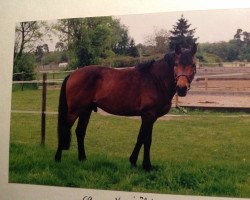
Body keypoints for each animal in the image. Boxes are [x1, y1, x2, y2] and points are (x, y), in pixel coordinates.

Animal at [54, 43, 197, 170]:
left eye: (193, 65)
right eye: (176, 64)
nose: (182, 88)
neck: (155, 79)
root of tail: (72, 74)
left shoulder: (150, 117)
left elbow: (143, 138)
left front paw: (135, 162)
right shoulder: (148, 115)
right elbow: (146, 139)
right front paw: (146, 166)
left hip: (86, 110)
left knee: (80, 132)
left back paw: (83, 159)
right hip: (74, 111)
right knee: (65, 130)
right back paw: (57, 159)